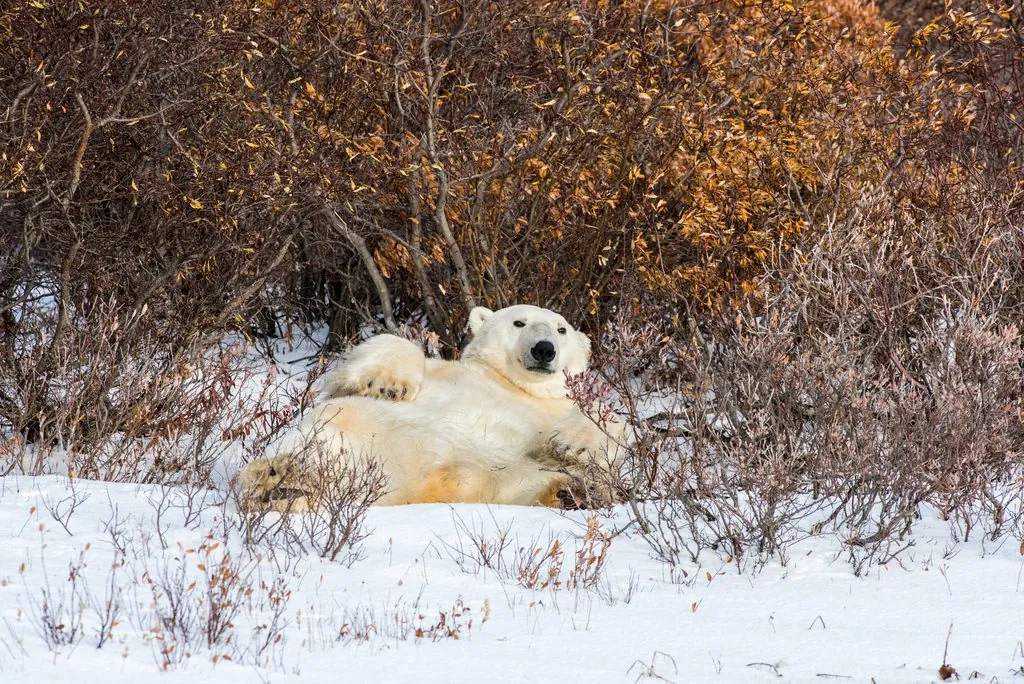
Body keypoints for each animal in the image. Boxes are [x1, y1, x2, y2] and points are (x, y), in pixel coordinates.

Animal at [236, 304, 625, 511]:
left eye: (561, 330)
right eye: (519, 322)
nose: (544, 349)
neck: (516, 388)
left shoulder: (553, 409)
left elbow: (614, 427)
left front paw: (570, 443)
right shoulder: (445, 372)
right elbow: (389, 348)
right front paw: (389, 384)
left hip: (493, 477)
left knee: (527, 483)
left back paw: (573, 493)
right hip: (351, 433)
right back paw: (276, 477)